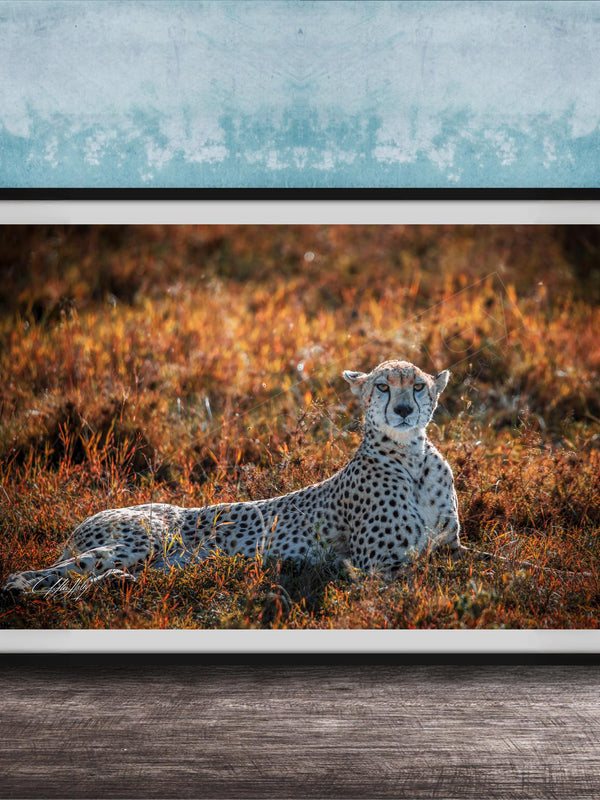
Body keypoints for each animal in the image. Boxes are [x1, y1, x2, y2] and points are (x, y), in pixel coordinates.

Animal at [2, 359, 464, 594]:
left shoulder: (450, 547)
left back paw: (116, 584)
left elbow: (476, 564)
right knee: (28, 578)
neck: (411, 456)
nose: (403, 410)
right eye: (383, 386)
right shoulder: (381, 568)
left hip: (160, 561)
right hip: (140, 542)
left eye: (418, 386)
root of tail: (84, 520)